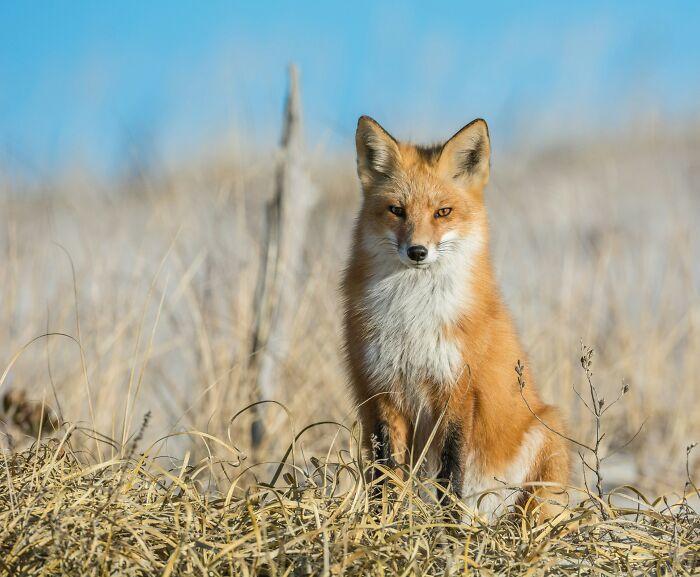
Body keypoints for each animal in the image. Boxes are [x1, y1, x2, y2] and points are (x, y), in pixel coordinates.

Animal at [341, 115, 570, 521]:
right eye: (396, 210)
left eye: (442, 212)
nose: (417, 251)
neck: (412, 317)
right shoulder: (381, 390)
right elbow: (388, 477)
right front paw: (384, 524)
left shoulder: (458, 389)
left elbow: (450, 477)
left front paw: (448, 532)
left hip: (547, 434)